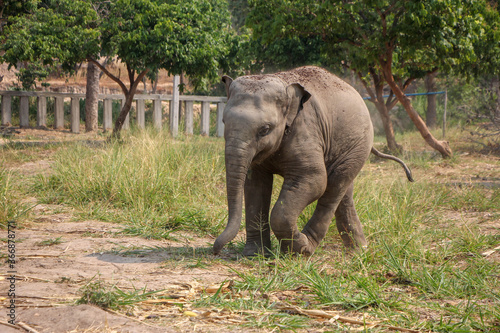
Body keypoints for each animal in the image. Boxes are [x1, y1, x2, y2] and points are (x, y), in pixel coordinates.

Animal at [213, 66, 412, 255]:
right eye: (223, 121)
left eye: (265, 129)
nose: (215, 250)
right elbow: (255, 185)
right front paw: (255, 254)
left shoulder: (306, 131)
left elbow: (315, 180)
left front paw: (293, 248)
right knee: (344, 191)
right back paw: (358, 250)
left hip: (358, 145)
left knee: (333, 187)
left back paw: (306, 247)